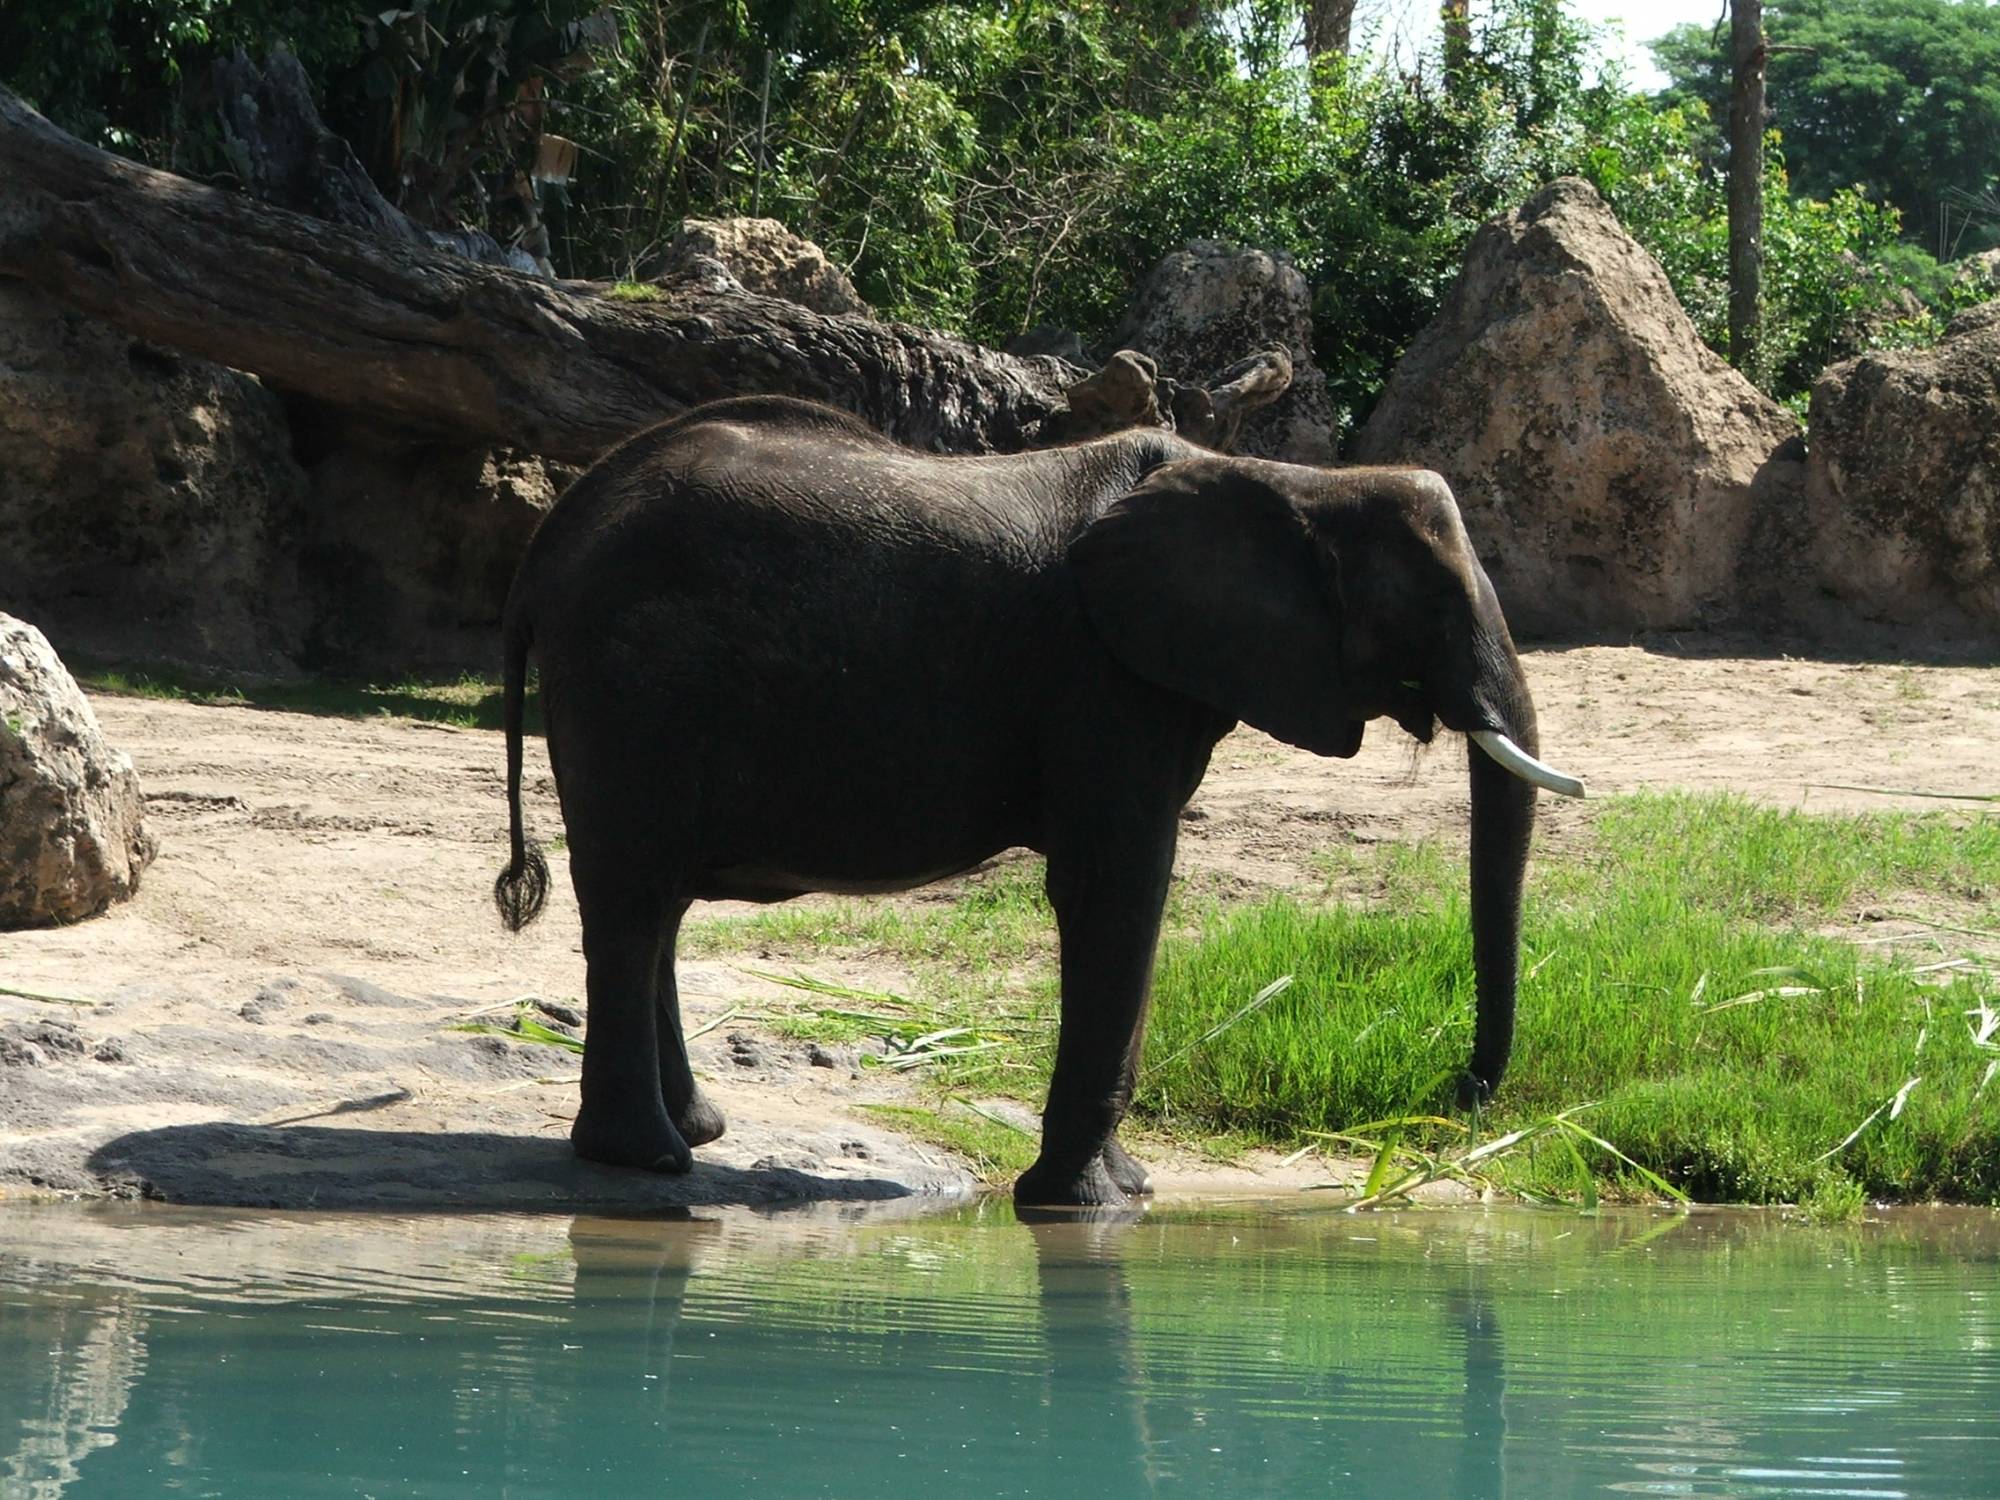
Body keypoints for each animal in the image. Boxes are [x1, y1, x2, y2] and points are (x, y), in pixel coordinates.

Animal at [492, 396, 1584, 1208]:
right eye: (1429, 603)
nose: (1455, 1094)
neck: (1290, 479)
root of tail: (545, 546)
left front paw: (1118, 1191)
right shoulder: (1102, 675)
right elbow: (1118, 886)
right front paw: (1089, 1204)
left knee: (658, 901)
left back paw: (697, 1130)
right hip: (629, 681)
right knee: (634, 899)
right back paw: (650, 1158)